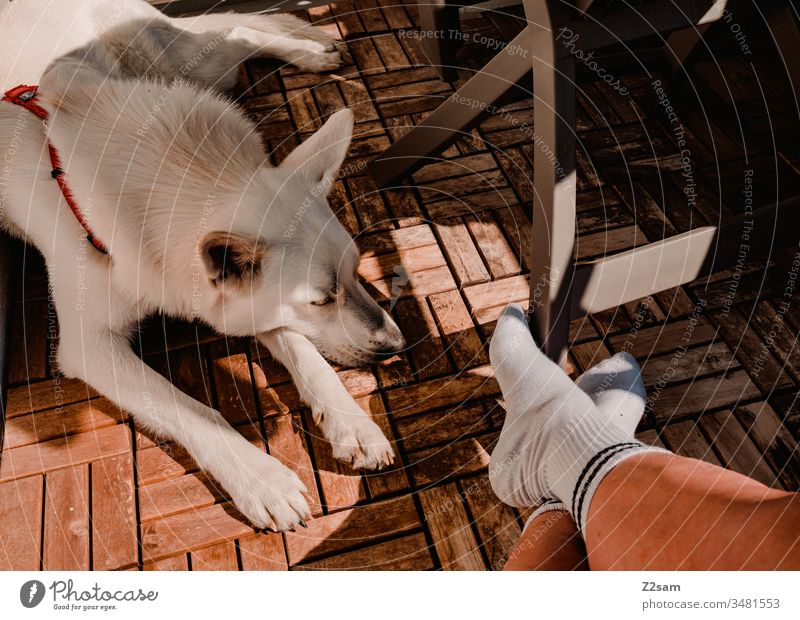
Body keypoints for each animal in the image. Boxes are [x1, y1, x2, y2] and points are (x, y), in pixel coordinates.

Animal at [0, 1, 404, 532]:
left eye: (359, 272)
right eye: (322, 300)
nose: (398, 345)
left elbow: (306, 355)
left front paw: (351, 422)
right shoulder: (89, 346)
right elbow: (192, 411)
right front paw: (261, 479)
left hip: (187, 64)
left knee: (240, 31)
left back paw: (311, 53)